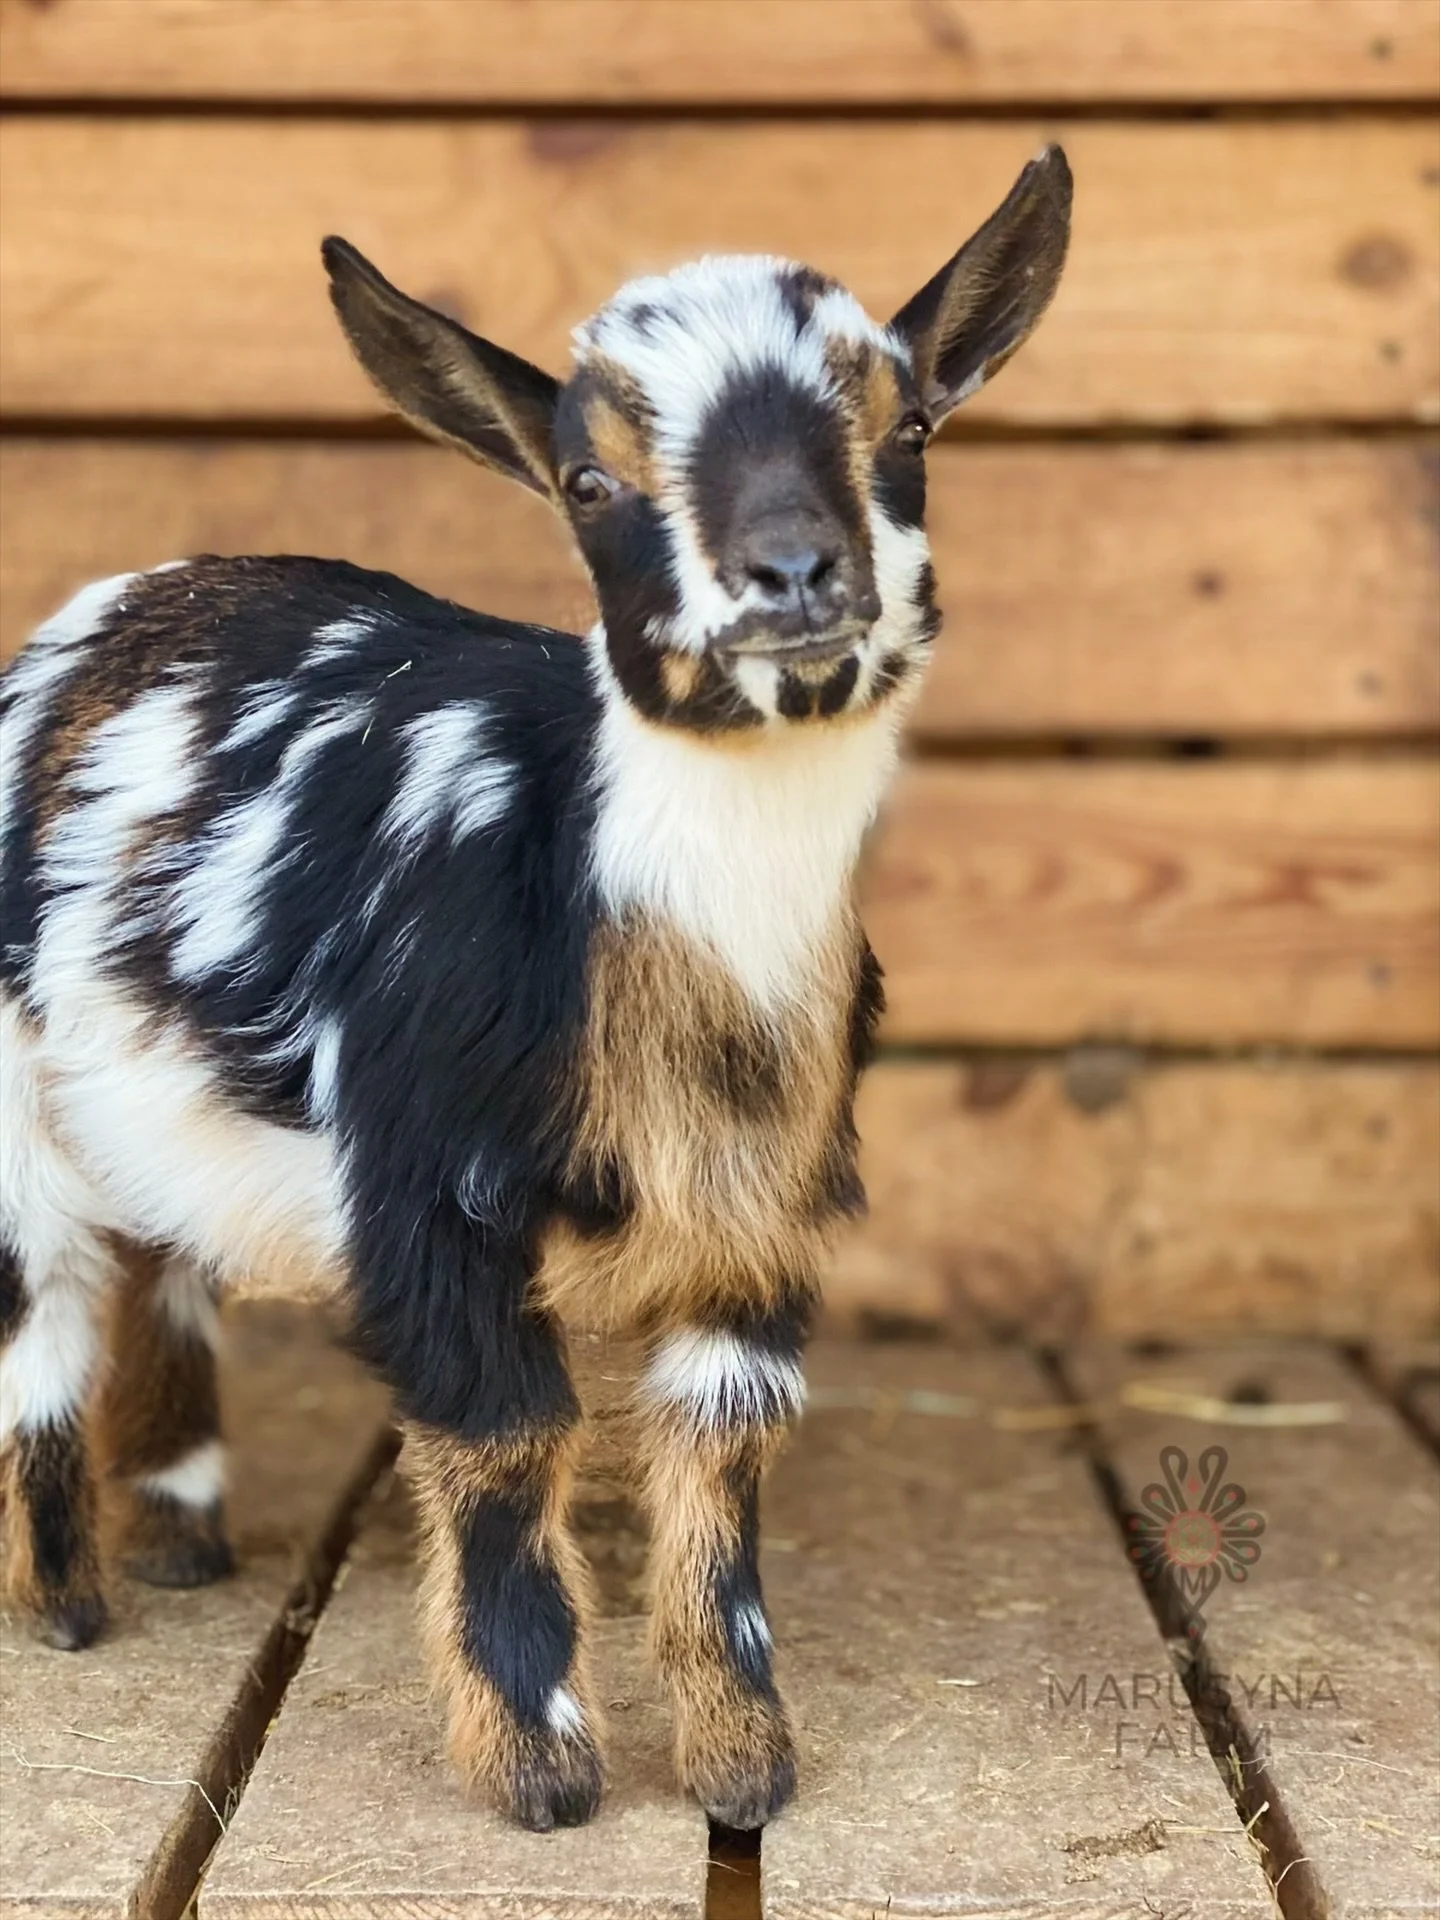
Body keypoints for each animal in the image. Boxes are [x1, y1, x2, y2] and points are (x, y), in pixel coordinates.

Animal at [0, 148, 1071, 1830]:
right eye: (587, 480)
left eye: (905, 426)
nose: (790, 573)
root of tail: (119, 604)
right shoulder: (429, 1186)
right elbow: (507, 1443)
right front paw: (541, 1767)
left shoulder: (760, 1208)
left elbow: (722, 1463)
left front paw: (744, 1762)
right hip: (15, 1082)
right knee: (43, 1292)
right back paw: (63, 1601)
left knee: (164, 1249)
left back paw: (177, 1538)